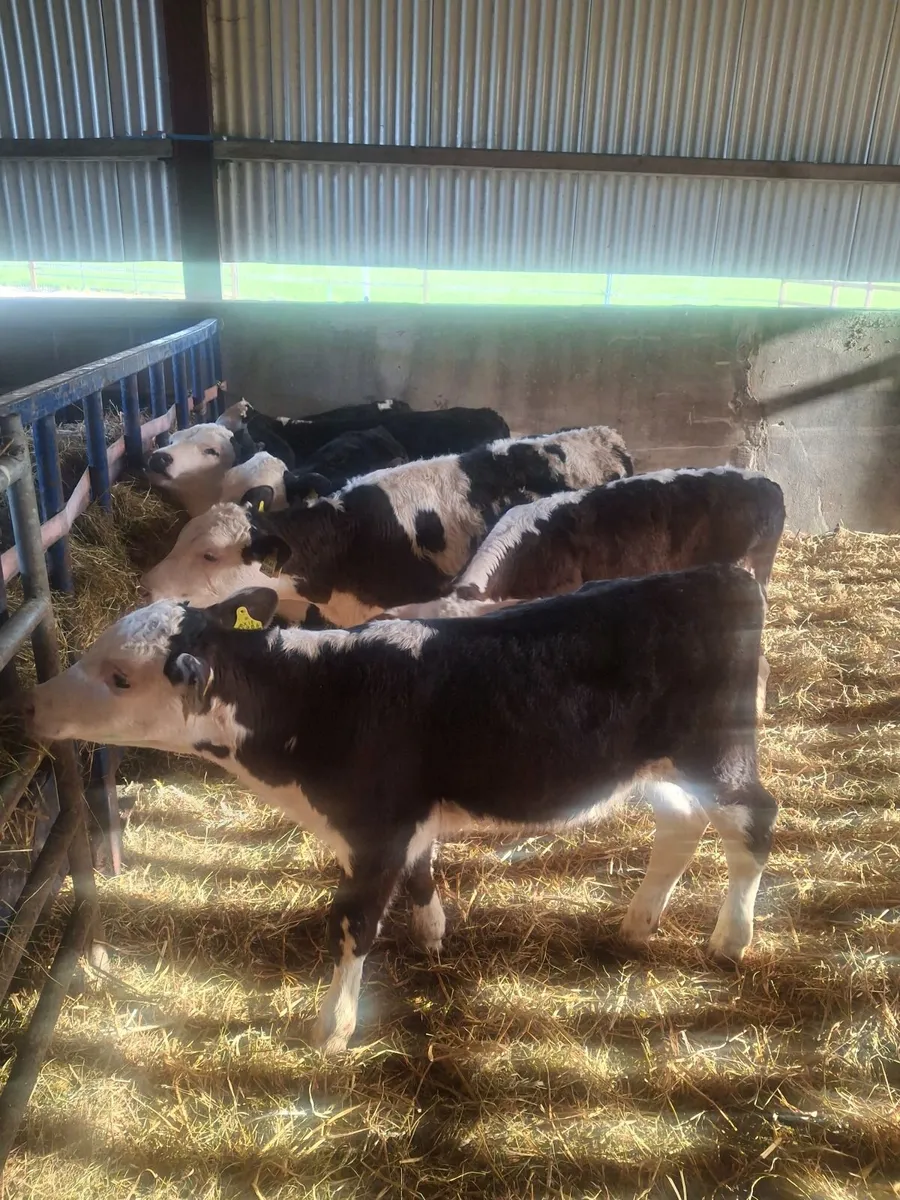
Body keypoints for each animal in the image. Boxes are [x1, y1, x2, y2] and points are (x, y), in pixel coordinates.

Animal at [27, 567, 777, 1053]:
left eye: (120, 677)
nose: (35, 704)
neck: (318, 697)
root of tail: (719, 575)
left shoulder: (376, 829)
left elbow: (352, 924)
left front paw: (333, 1026)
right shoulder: (404, 822)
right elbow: (421, 872)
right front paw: (433, 933)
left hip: (718, 751)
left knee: (754, 823)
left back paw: (731, 937)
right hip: (659, 766)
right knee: (680, 824)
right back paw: (639, 922)